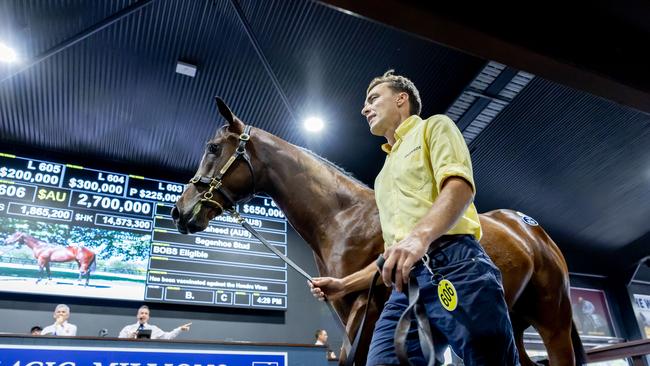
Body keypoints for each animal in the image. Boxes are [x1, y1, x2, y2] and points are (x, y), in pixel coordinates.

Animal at [171, 98, 584, 364]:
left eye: (213, 147)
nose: (179, 211)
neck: (342, 218)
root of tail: (531, 231)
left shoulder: (364, 310)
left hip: (553, 321)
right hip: (513, 322)